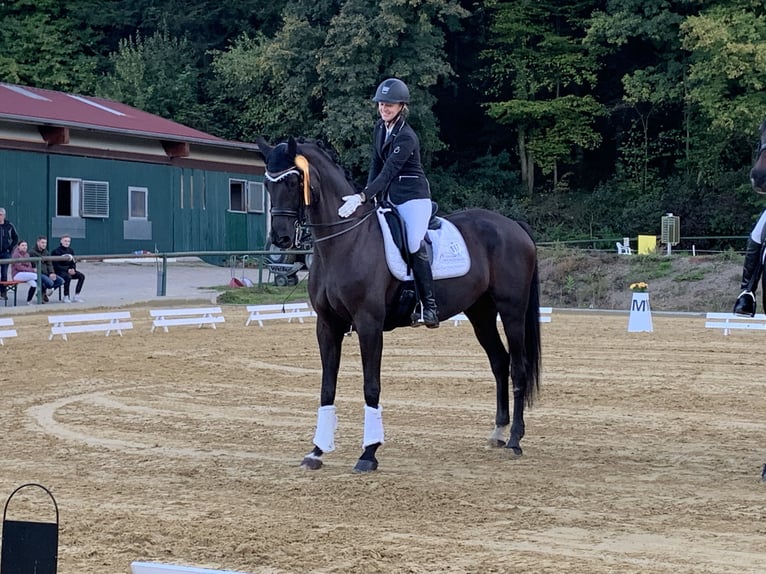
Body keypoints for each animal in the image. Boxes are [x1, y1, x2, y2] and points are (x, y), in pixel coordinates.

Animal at [256, 136, 541, 473]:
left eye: (293, 181)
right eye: (267, 183)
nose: (281, 239)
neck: (344, 242)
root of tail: (514, 226)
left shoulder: (369, 325)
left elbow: (371, 386)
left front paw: (368, 453)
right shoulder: (326, 325)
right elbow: (327, 387)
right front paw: (317, 451)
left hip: (512, 311)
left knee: (518, 367)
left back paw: (515, 440)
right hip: (480, 312)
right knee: (499, 362)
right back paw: (498, 432)